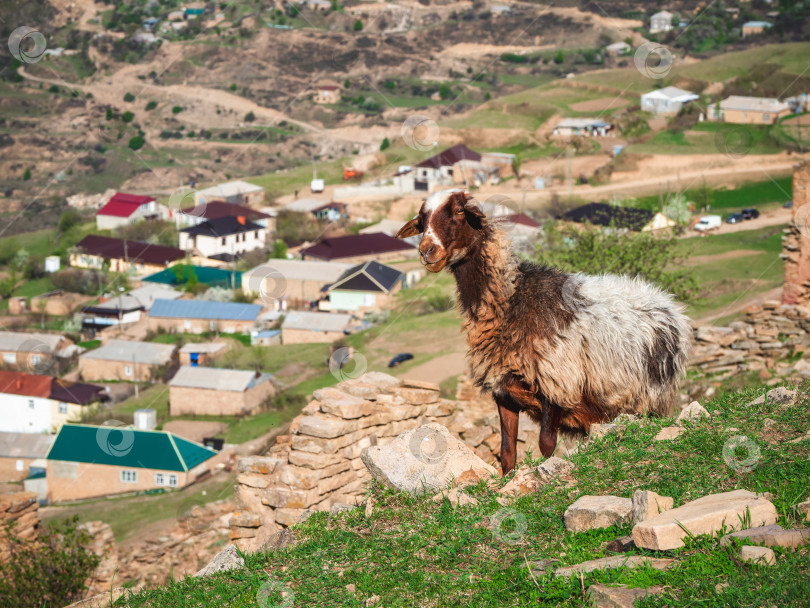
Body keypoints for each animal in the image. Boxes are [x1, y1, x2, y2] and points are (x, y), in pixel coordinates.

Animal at [394, 190, 692, 476]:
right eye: (422, 220)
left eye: (458, 210)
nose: (427, 251)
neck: (513, 299)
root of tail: (666, 301)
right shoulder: (504, 392)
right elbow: (507, 452)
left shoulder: (557, 384)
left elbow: (546, 445)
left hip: (650, 398)